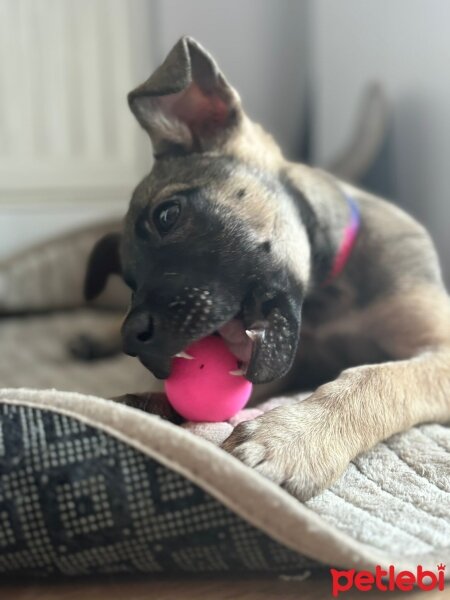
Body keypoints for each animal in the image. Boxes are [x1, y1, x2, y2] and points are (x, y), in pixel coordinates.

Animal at [82, 37, 450, 502]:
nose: (132, 339)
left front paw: (295, 438)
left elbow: (376, 378)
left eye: (167, 214)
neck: (328, 297)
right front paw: (140, 405)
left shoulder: (436, 348)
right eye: (129, 281)